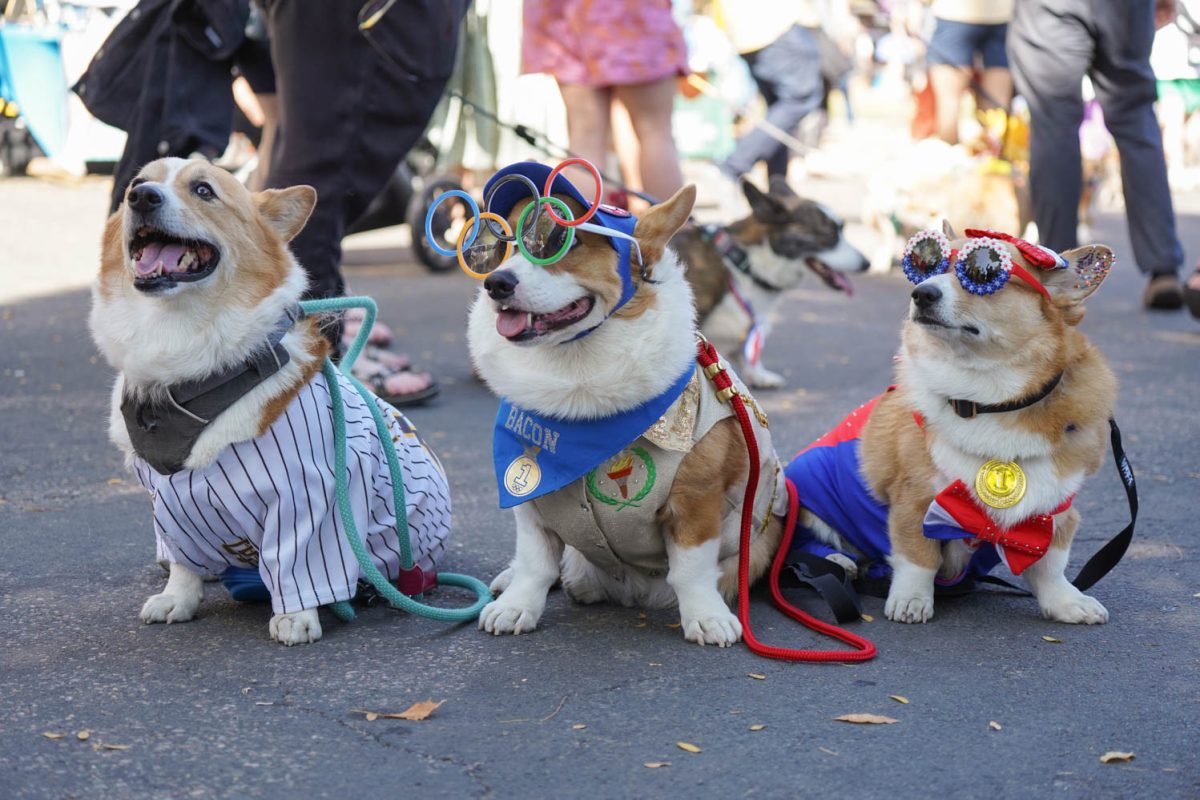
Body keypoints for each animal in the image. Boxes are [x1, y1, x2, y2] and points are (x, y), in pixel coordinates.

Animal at [90, 155, 453, 642]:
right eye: (137, 182)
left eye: (203, 190)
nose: (142, 197)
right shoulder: (166, 499)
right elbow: (183, 560)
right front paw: (177, 598)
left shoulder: (305, 497)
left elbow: (298, 566)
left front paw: (296, 618)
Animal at [468, 163, 787, 642]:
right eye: (500, 249)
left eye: (563, 242)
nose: (495, 284)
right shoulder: (531, 500)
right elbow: (534, 563)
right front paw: (516, 606)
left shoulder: (695, 503)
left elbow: (691, 571)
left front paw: (705, 617)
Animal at [787, 224, 1113, 623]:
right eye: (928, 268)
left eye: (984, 273)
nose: (921, 293)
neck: (987, 403)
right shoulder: (914, 501)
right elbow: (917, 558)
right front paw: (911, 600)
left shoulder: (1053, 513)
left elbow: (1050, 565)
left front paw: (1067, 602)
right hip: (803, 498)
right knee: (807, 543)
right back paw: (838, 560)